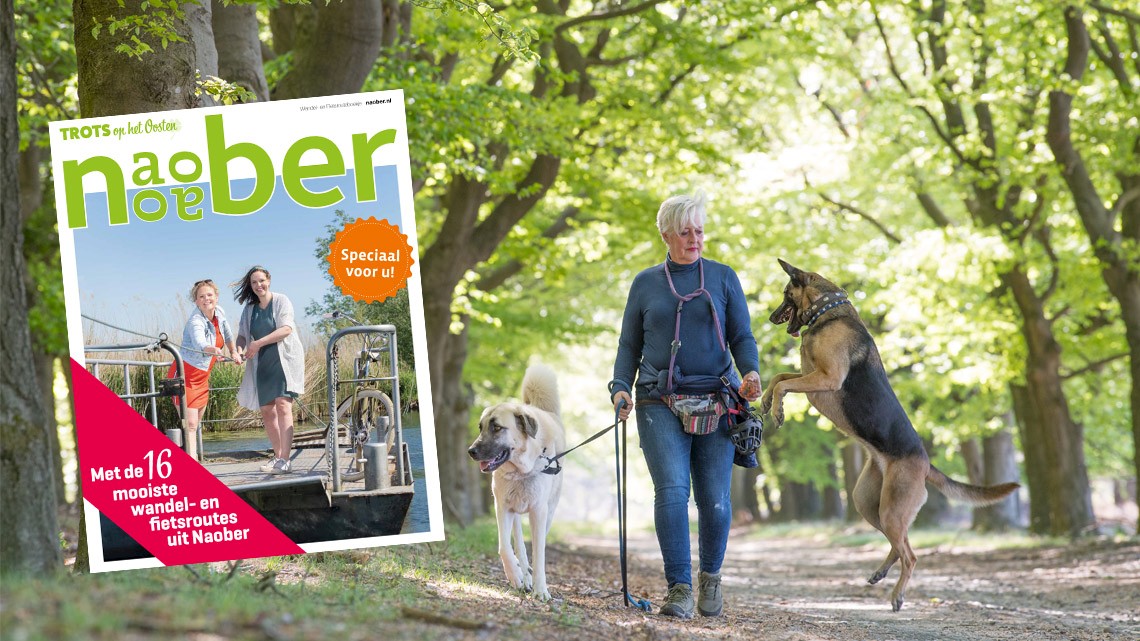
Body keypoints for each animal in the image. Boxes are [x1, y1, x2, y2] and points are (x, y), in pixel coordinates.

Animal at [467, 364, 565, 597]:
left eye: (496, 427)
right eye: (481, 427)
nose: (471, 451)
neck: (521, 470)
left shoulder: (539, 511)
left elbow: (539, 553)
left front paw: (540, 589)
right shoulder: (502, 507)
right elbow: (504, 547)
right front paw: (516, 576)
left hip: (550, 508)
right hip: (515, 511)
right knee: (519, 543)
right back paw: (524, 575)